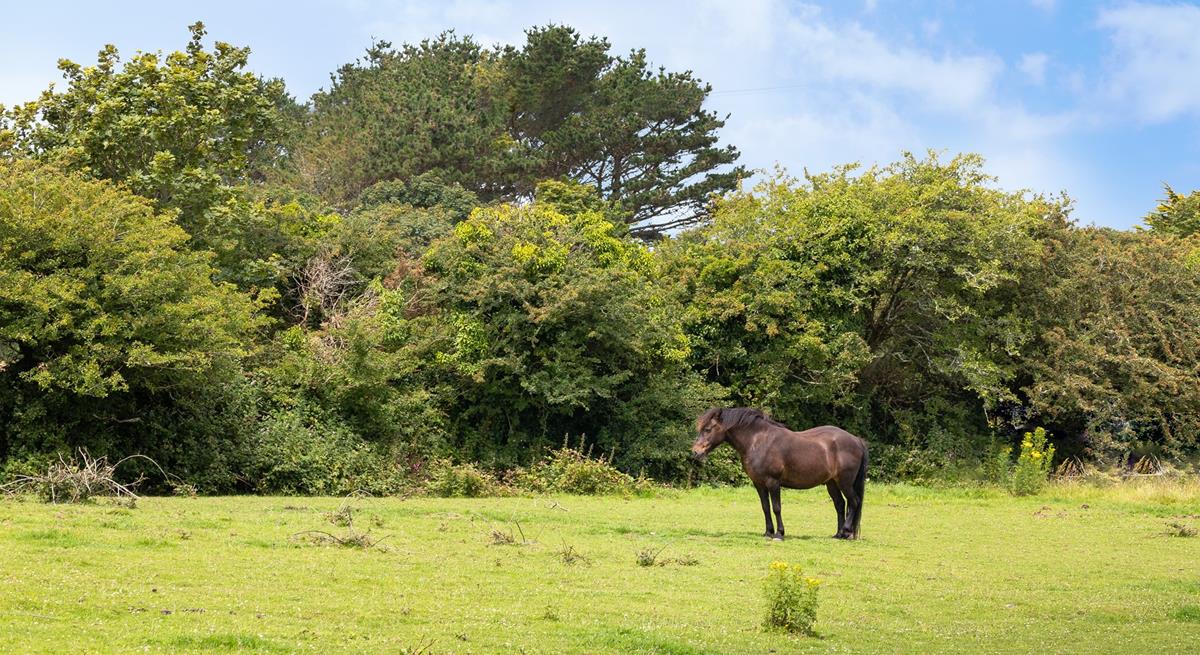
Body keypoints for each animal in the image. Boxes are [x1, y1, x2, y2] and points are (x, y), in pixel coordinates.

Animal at [691, 407, 869, 540]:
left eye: (707, 429)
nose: (695, 452)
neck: (758, 441)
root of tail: (857, 440)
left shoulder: (773, 482)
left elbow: (776, 507)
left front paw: (779, 533)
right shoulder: (759, 484)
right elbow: (765, 507)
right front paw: (768, 532)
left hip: (845, 482)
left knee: (854, 502)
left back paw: (846, 531)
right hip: (832, 483)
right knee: (840, 504)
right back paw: (838, 534)